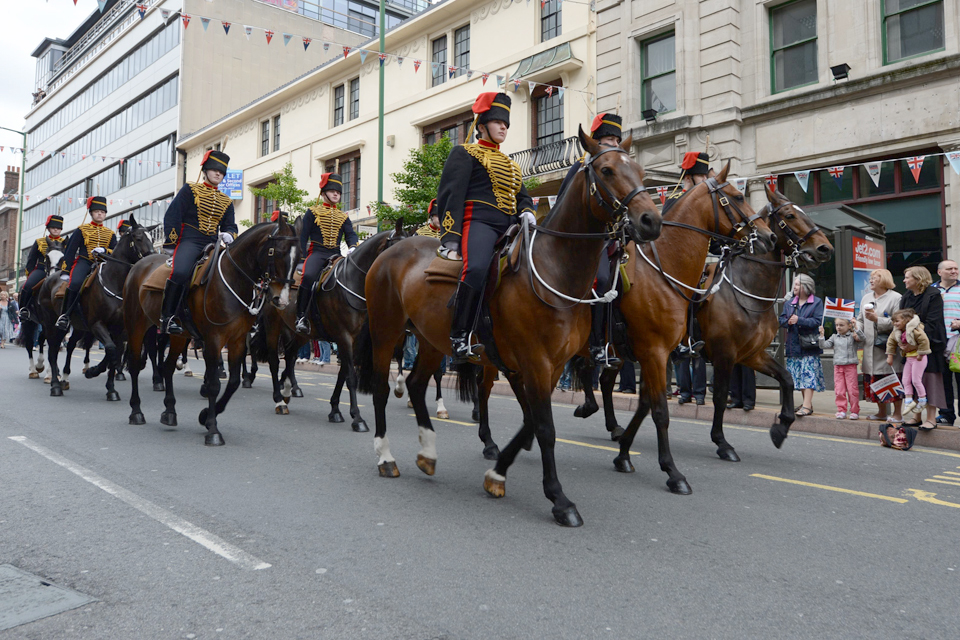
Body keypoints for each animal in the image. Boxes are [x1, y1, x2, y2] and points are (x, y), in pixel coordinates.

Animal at [123, 219, 300, 444]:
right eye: (277, 251)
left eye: (299, 256)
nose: (282, 300)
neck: (234, 280)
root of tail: (139, 264)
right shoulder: (214, 339)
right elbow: (215, 383)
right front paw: (213, 430)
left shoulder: (237, 339)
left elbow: (232, 382)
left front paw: (206, 416)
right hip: (136, 325)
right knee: (135, 364)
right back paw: (136, 411)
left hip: (179, 335)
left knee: (168, 366)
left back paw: (170, 411)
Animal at [356, 127, 664, 528]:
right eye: (607, 170)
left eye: (641, 172)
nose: (650, 221)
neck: (555, 269)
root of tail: (388, 253)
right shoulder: (535, 361)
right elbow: (544, 427)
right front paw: (559, 499)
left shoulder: (552, 365)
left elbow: (532, 421)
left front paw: (498, 472)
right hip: (387, 331)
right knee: (380, 388)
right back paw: (386, 456)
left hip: (430, 341)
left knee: (417, 384)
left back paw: (428, 453)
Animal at [568, 161, 780, 496]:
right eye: (736, 197)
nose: (768, 237)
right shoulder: (662, 352)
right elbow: (662, 410)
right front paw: (674, 470)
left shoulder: (660, 353)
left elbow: (647, 403)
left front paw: (624, 453)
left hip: (612, 351)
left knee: (596, 376)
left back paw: (605, 421)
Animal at [696, 185, 832, 460]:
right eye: (790, 215)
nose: (825, 248)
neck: (747, 288)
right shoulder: (724, 354)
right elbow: (719, 397)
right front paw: (722, 442)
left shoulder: (752, 354)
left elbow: (787, 379)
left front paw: (781, 427)